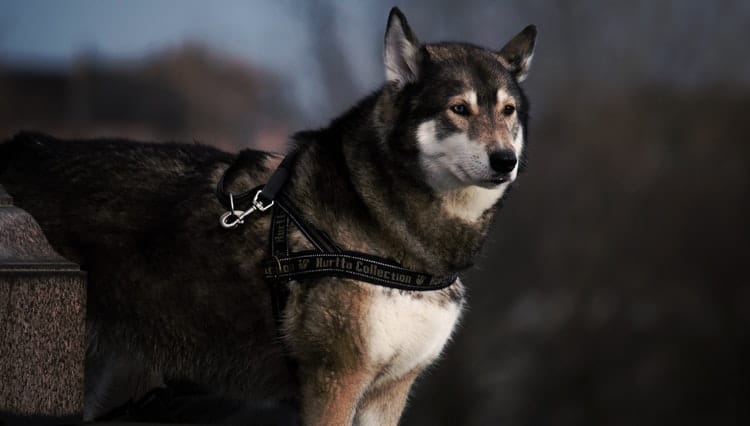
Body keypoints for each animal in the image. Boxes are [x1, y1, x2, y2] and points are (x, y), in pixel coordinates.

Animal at [0, 8, 536, 425]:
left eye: (508, 111)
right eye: (459, 109)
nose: (504, 161)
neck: (389, 225)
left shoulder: (388, 393)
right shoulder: (333, 384)